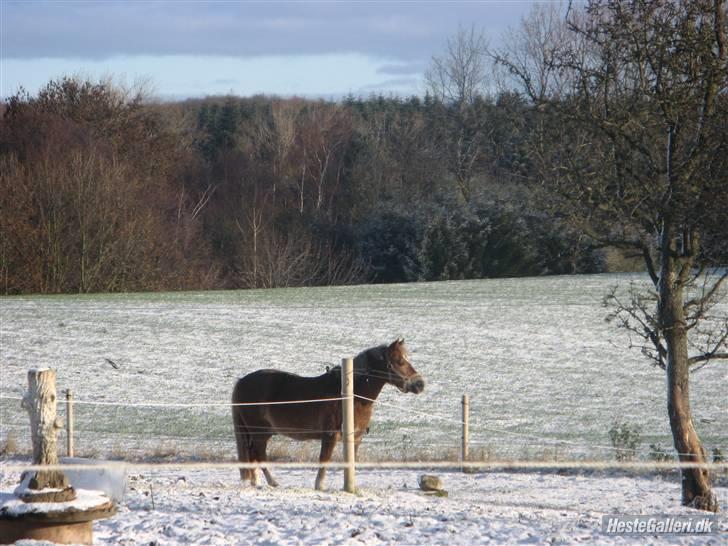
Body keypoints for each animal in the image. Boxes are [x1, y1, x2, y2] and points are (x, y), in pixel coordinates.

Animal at [233, 336, 424, 488]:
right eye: (399, 361)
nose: (420, 384)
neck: (352, 395)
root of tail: (242, 381)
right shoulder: (330, 436)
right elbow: (324, 460)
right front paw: (320, 485)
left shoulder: (356, 438)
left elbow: (351, 462)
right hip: (259, 432)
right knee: (259, 454)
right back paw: (272, 481)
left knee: (253, 454)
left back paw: (256, 481)